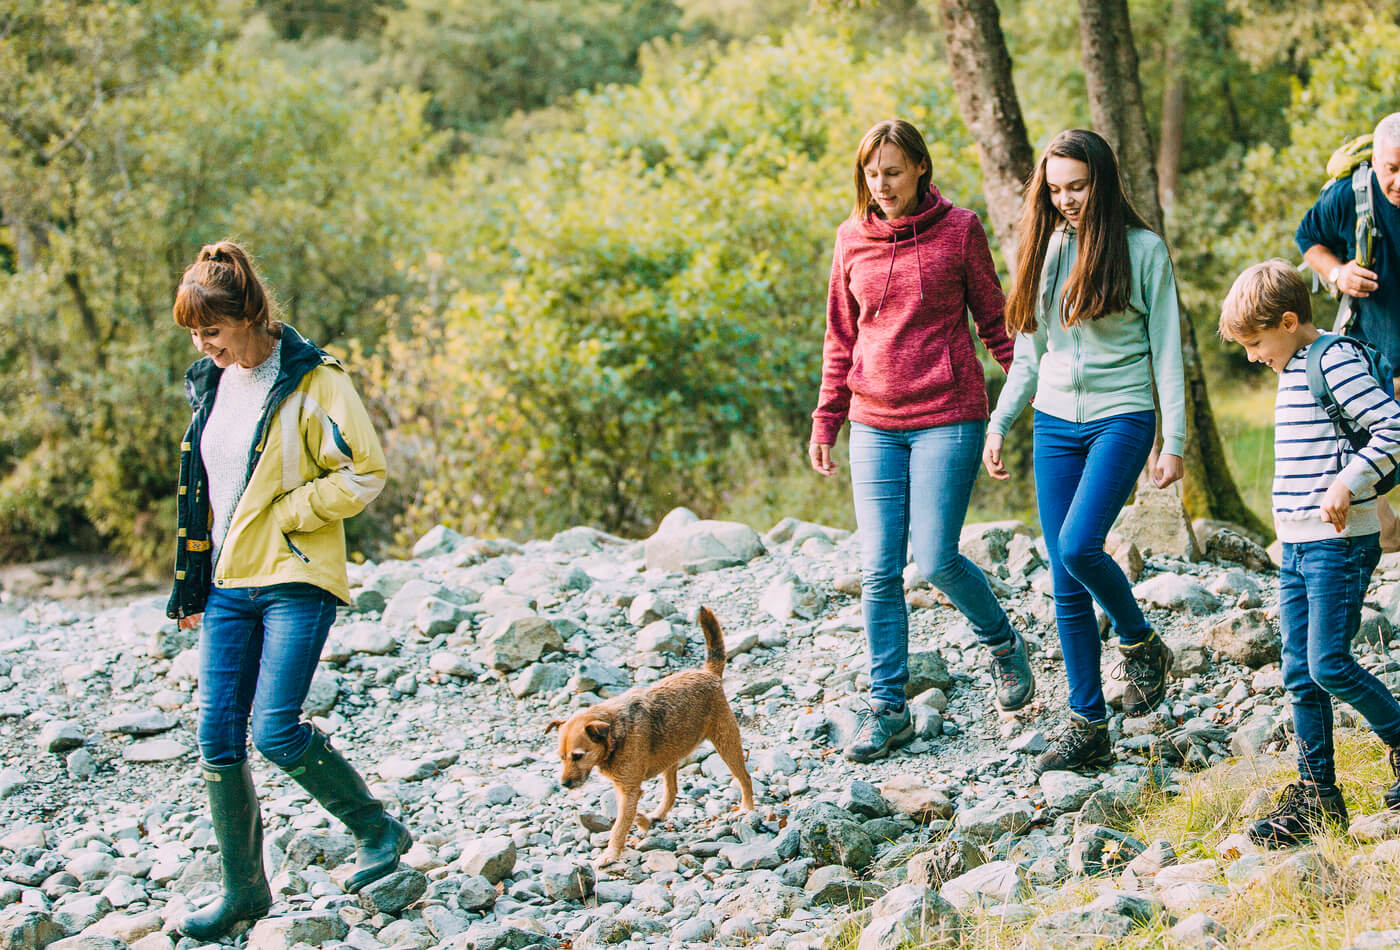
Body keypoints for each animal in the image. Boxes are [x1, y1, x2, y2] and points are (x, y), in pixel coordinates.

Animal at [546, 604, 756, 867]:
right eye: (560, 757)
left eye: (577, 756)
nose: (563, 785)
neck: (614, 736)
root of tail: (709, 673)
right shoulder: (624, 789)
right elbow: (626, 816)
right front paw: (644, 822)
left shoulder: (629, 789)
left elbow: (619, 825)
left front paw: (610, 854)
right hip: (672, 755)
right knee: (672, 791)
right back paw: (657, 814)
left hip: (727, 743)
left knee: (745, 777)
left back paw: (748, 809)